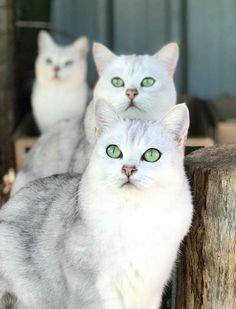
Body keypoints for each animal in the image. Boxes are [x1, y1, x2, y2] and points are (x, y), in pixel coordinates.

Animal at [0, 101, 193, 308]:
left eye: (151, 155)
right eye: (113, 151)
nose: (128, 169)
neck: (134, 214)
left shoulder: (151, 290)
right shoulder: (93, 287)